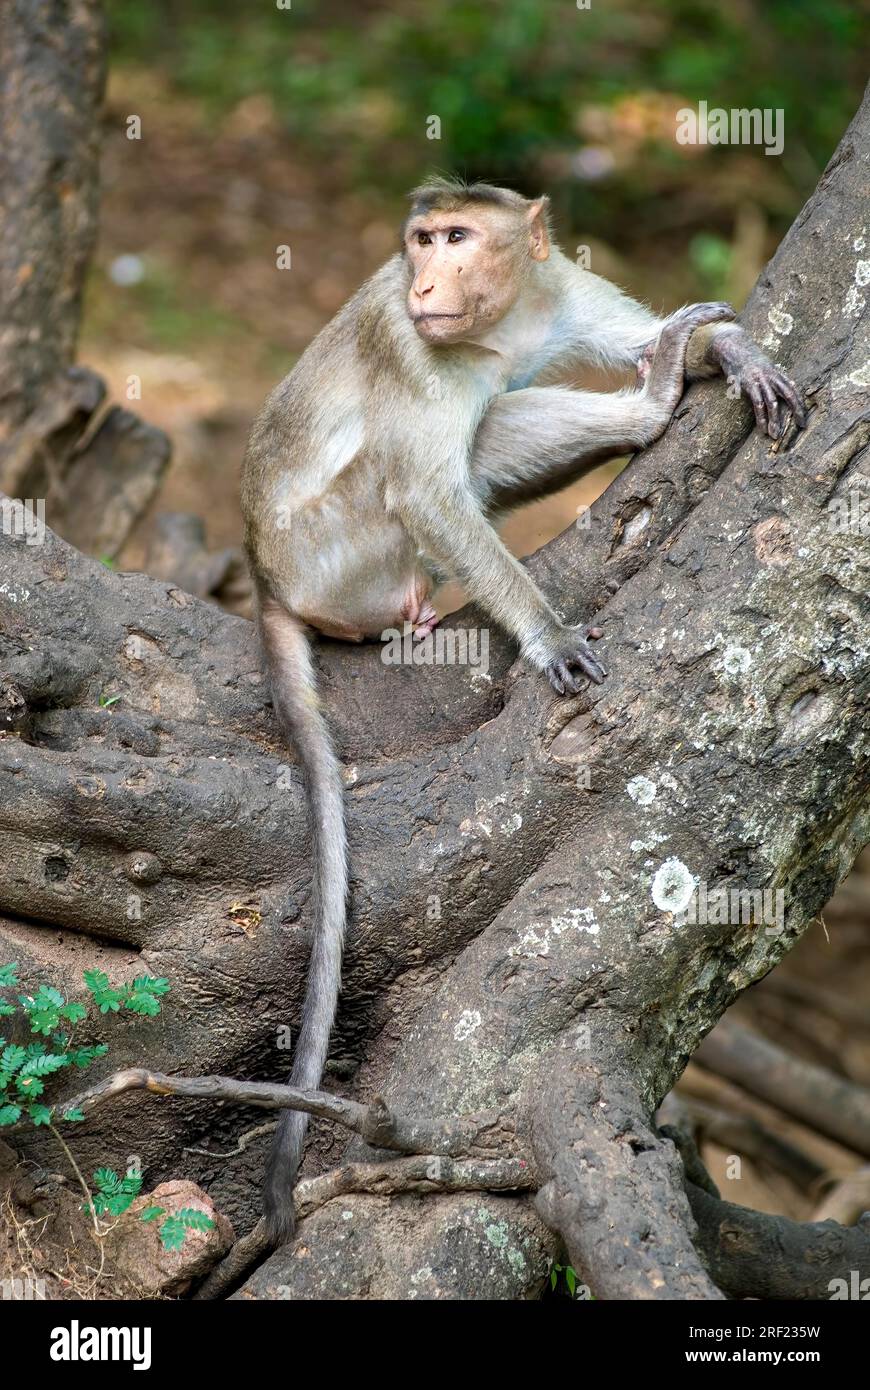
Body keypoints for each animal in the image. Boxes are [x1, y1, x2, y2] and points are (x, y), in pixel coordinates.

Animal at [239, 173, 806, 1239]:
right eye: (421, 242)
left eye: (457, 237)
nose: (426, 278)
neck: (497, 319)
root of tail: (264, 578)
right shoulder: (410, 346)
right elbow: (428, 491)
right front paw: (546, 636)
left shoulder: (562, 285)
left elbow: (639, 331)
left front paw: (726, 350)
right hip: (341, 555)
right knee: (418, 479)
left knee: (498, 422)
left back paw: (653, 403)